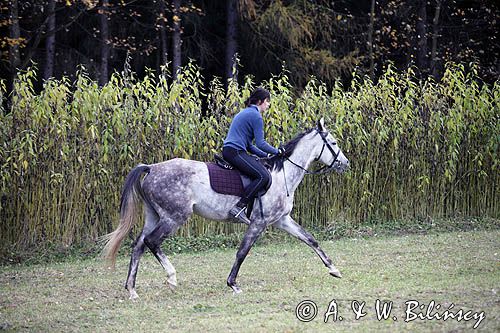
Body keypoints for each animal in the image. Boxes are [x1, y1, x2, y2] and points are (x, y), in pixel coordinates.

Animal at [102, 117, 348, 298]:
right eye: (334, 143)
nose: (345, 164)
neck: (283, 174)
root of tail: (152, 168)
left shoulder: (282, 220)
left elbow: (310, 239)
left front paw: (333, 269)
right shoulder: (258, 223)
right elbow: (242, 252)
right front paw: (233, 284)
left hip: (154, 216)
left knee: (138, 246)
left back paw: (132, 290)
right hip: (174, 217)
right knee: (152, 242)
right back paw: (171, 277)